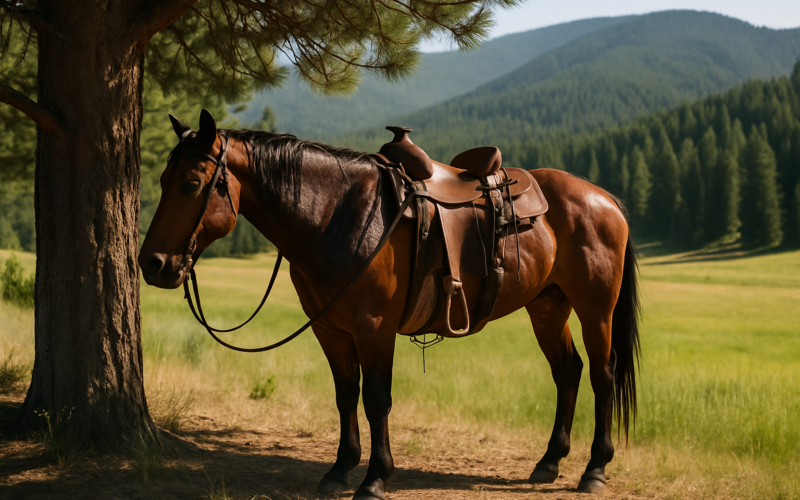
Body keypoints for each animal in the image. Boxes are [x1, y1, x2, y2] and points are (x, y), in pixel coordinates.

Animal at [138, 109, 640, 499]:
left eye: (191, 184)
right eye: (162, 180)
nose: (153, 263)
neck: (339, 216)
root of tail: (604, 197)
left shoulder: (374, 328)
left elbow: (377, 398)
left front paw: (375, 478)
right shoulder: (330, 330)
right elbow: (345, 394)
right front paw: (340, 469)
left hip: (596, 308)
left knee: (602, 373)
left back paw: (594, 469)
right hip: (547, 307)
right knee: (567, 371)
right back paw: (549, 461)